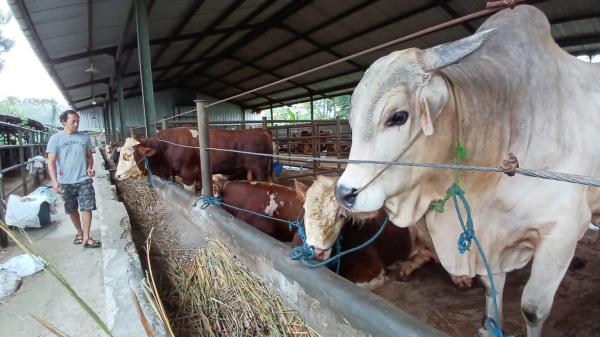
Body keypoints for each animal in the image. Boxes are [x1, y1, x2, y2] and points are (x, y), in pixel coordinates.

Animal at [336, 5, 596, 336]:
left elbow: (533, 308)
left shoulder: (563, 230)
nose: (345, 193)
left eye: (398, 116)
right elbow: (490, 285)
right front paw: (488, 326)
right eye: (351, 122)